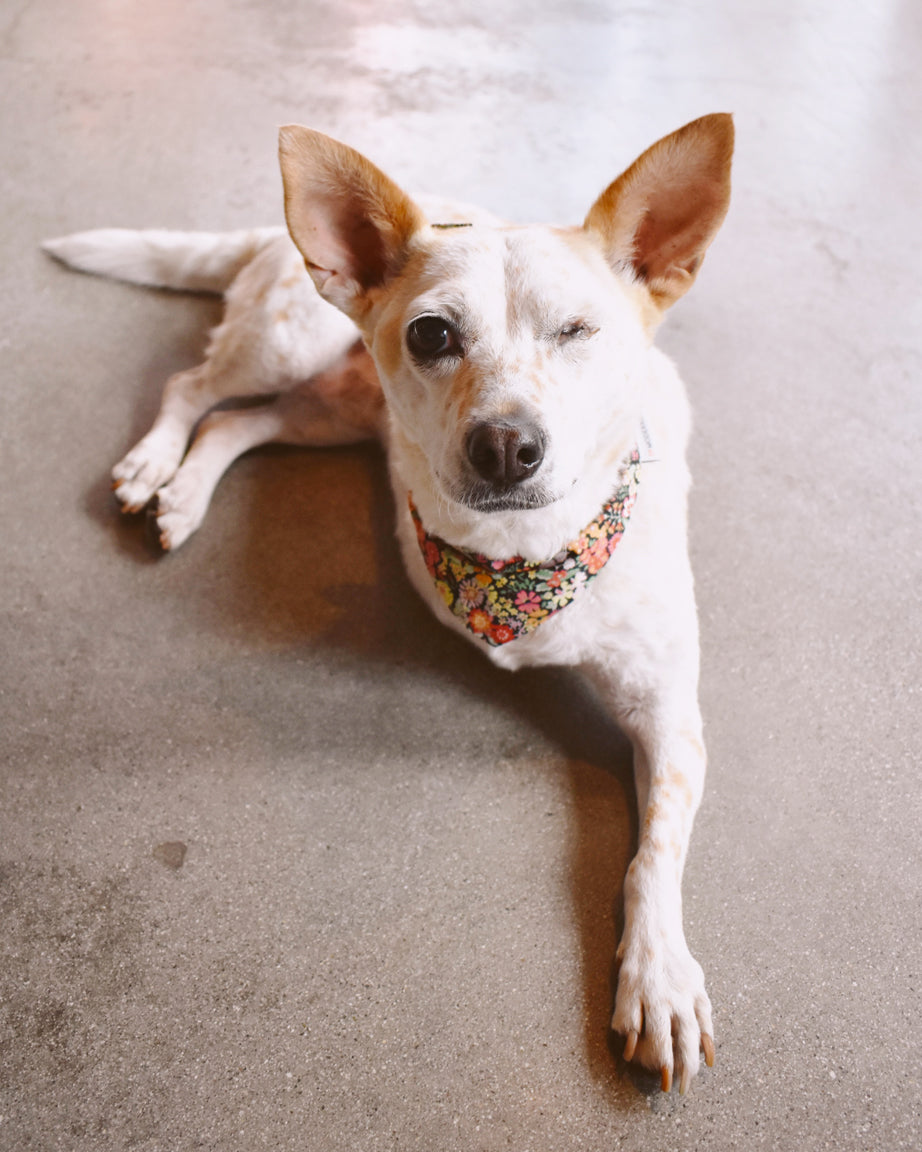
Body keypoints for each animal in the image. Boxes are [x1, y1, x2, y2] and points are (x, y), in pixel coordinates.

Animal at [43, 112, 732, 1092]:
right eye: (433, 333)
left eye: (579, 330)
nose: (506, 446)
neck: (522, 558)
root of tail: (268, 233)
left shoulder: (667, 714)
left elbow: (654, 855)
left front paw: (660, 976)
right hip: (286, 346)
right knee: (193, 390)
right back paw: (153, 463)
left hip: (331, 410)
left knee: (239, 424)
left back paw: (186, 491)